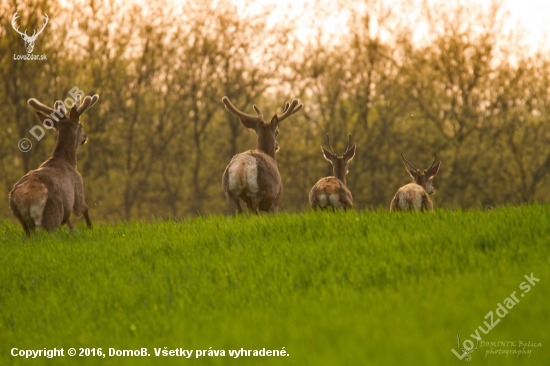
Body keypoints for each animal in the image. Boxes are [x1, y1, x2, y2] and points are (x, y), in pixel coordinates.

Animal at [9, 93, 99, 233]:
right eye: (81, 125)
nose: (85, 137)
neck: (68, 161)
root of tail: (26, 197)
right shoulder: (78, 189)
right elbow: (85, 209)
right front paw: (90, 228)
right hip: (52, 213)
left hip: (22, 221)